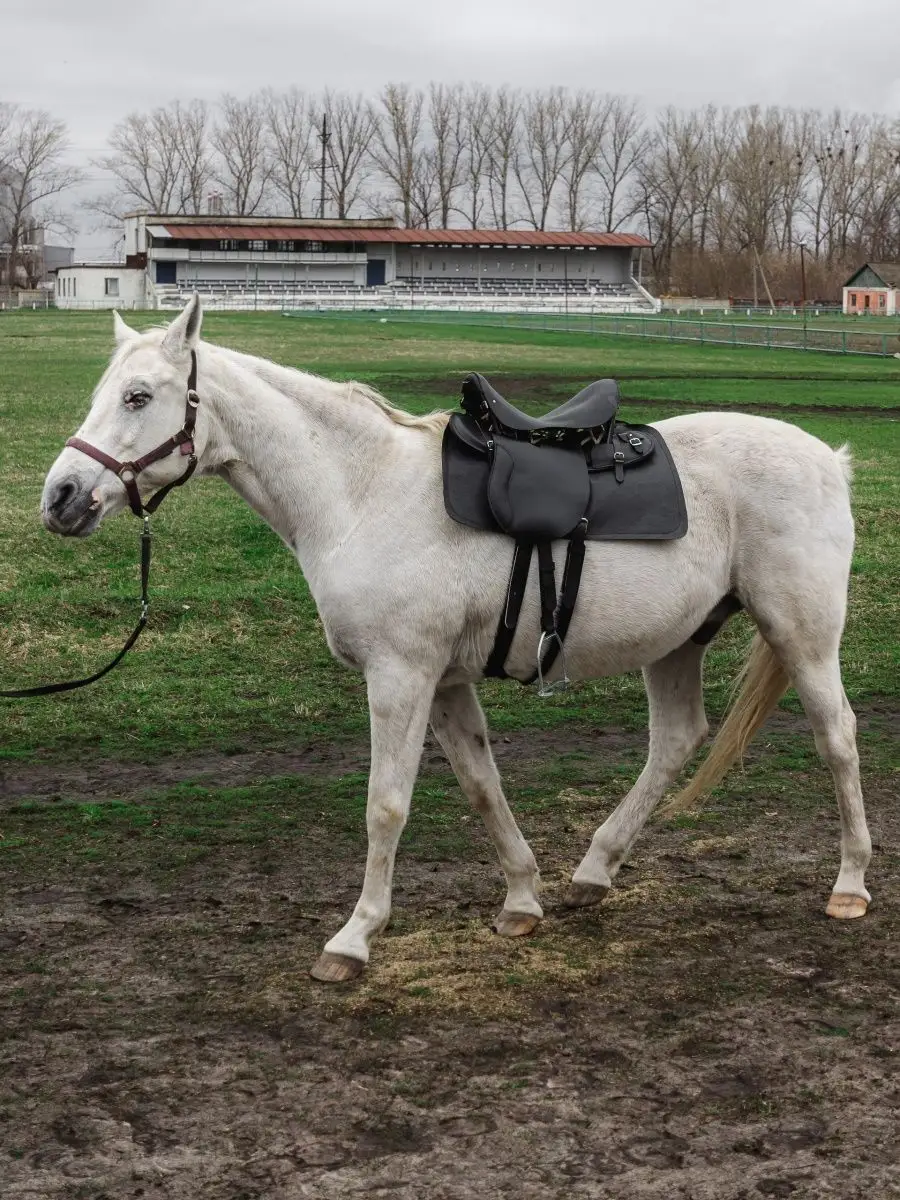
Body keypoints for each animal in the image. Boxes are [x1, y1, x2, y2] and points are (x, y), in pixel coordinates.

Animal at [38, 295, 868, 979]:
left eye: (139, 396)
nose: (62, 498)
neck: (362, 492)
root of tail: (827, 458)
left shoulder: (400, 676)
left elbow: (386, 804)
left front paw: (355, 937)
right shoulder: (444, 682)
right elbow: (480, 784)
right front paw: (522, 901)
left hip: (801, 633)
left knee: (836, 736)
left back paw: (850, 885)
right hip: (677, 644)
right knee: (676, 740)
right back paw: (594, 870)